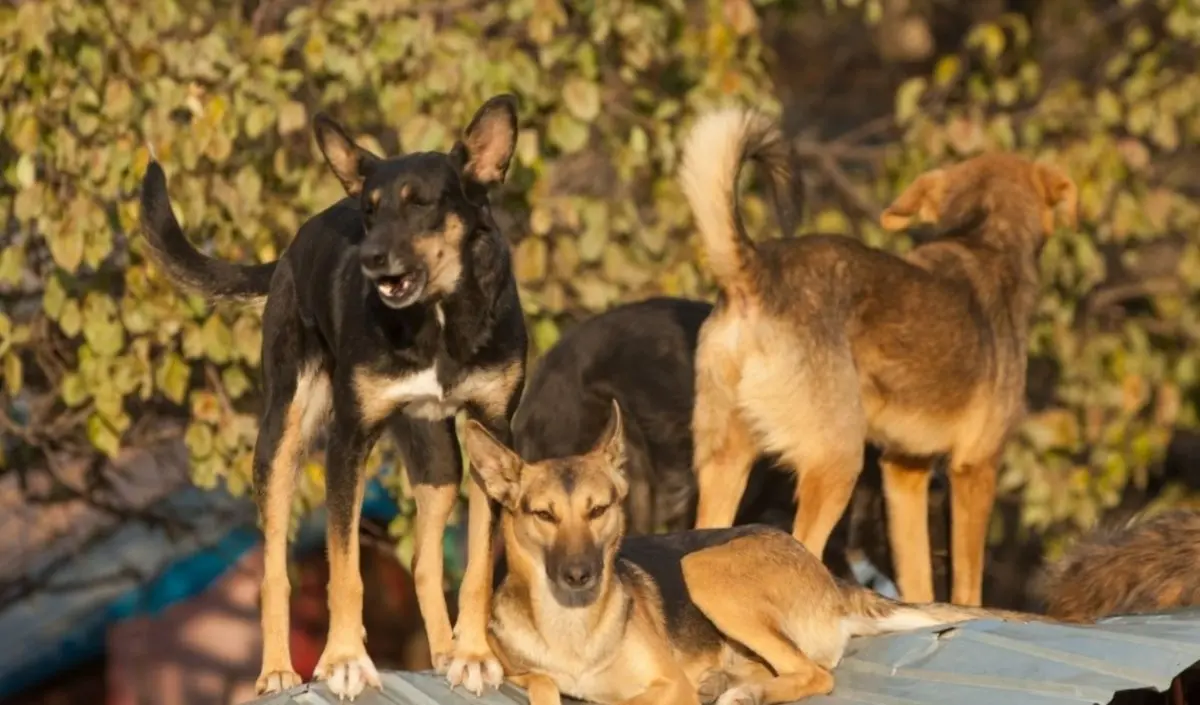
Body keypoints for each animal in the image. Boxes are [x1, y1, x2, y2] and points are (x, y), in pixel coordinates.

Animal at [136, 93, 525, 700]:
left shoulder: (493, 432)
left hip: (439, 458)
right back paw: (276, 671)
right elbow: (344, 568)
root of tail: (294, 244)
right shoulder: (348, 441)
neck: (436, 320)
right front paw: (344, 659)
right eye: (370, 211)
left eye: (420, 204)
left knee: (423, 560)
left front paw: (474, 656)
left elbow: (481, 563)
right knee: (274, 572)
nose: (370, 258)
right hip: (282, 436)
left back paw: (443, 651)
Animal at [681, 106, 1084, 606]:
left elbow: (919, 580)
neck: (985, 240)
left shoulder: (904, 472)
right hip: (837, 462)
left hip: (725, 462)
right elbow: (968, 585)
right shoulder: (975, 468)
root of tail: (754, 272)